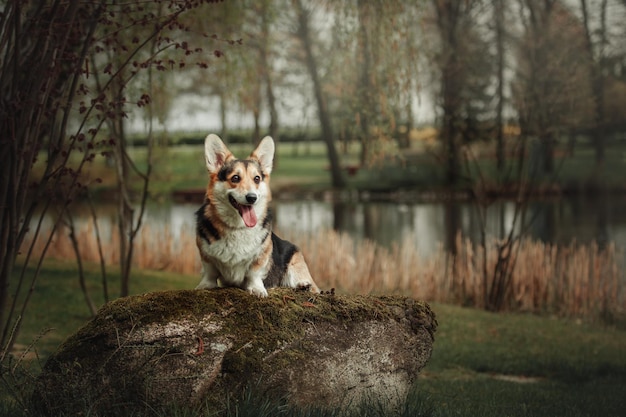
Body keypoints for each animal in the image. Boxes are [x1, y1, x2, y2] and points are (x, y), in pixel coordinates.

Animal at [194, 133, 320, 296]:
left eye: (257, 179)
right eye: (235, 178)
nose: (252, 197)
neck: (238, 227)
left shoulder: (261, 255)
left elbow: (254, 273)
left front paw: (257, 289)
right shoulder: (205, 254)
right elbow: (210, 272)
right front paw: (205, 285)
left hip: (295, 263)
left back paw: (304, 285)